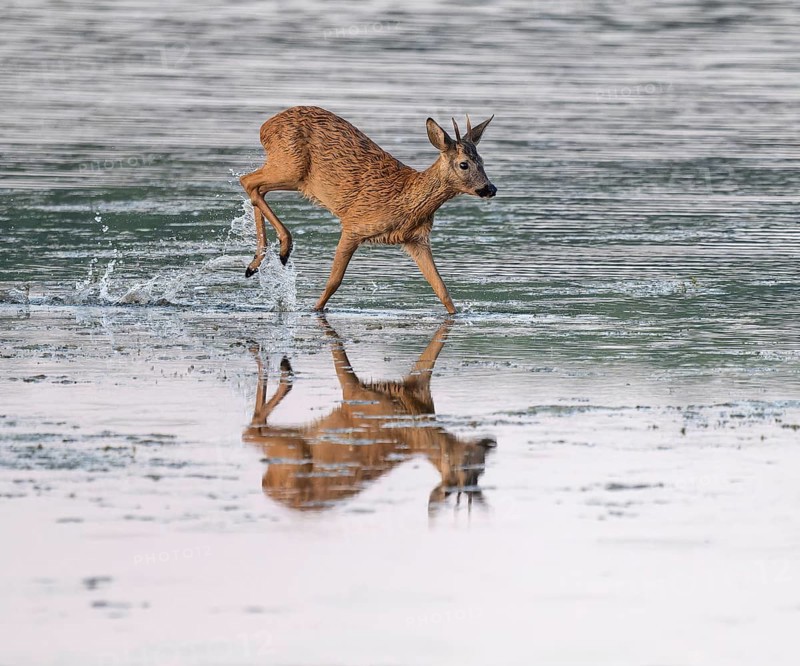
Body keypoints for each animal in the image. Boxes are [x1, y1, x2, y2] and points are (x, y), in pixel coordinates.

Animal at [238, 106, 497, 314]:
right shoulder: (354, 224)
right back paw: (281, 250)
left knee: (256, 187)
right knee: (248, 181)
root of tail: (265, 126)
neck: (406, 201)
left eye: (483, 161)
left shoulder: (416, 239)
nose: (490, 188)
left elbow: (441, 289)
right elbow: (334, 281)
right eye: (464, 164)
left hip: (292, 174)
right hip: (290, 167)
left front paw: (457, 314)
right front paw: (315, 308)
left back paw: (256, 263)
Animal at [242, 316, 496, 512]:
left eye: (481, 469)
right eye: (466, 469)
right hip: (294, 449)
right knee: (251, 432)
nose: (489, 443)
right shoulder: (356, 393)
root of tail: (267, 486)